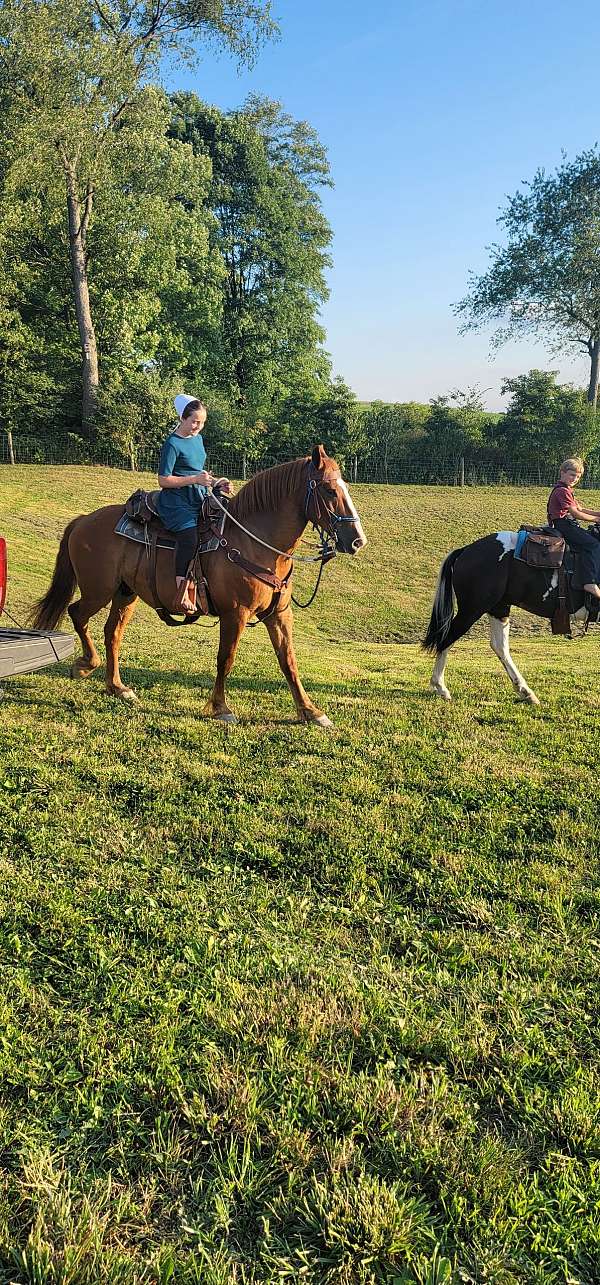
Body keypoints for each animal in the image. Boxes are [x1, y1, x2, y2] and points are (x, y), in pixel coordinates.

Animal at [34, 444, 370, 724]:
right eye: (329, 490)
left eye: (344, 487)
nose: (357, 541)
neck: (252, 542)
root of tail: (83, 520)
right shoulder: (235, 613)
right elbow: (226, 659)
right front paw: (220, 708)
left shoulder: (279, 613)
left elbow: (288, 661)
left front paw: (310, 711)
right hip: (98, 590)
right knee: (77, 614)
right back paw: (86, 665)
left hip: (125, 593)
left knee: (112, 633)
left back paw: (117, 687)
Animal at [423, 521, 600, 704]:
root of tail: (466, 550)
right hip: (471, 610)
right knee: (447, 638)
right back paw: (440, 687)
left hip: (499, 609)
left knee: (500, 647)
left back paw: (525, 691)